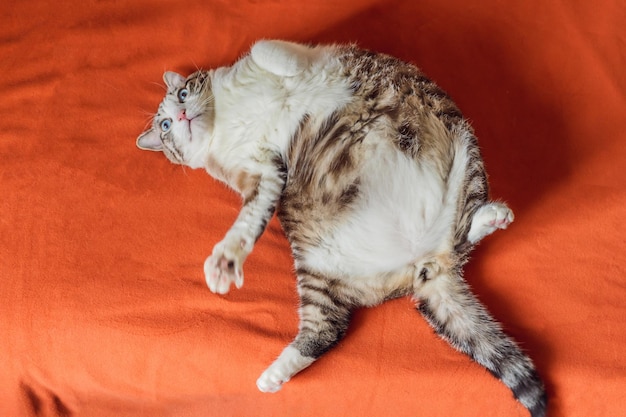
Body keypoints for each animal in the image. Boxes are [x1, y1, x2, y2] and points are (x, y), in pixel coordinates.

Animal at [136, 39, 544, 416]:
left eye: (183, 93)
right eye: (166, 126)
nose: (182, 115)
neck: (224, 121)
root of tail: (424, 264)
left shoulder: (277, 65)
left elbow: (265, 49)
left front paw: (287, 70)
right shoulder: (262, 175)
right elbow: (248, 221)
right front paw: (226, 260)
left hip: (463, 146)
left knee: (463, 228)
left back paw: (491, 216)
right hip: (316, 267)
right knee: (327, 329)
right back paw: (274, 375)